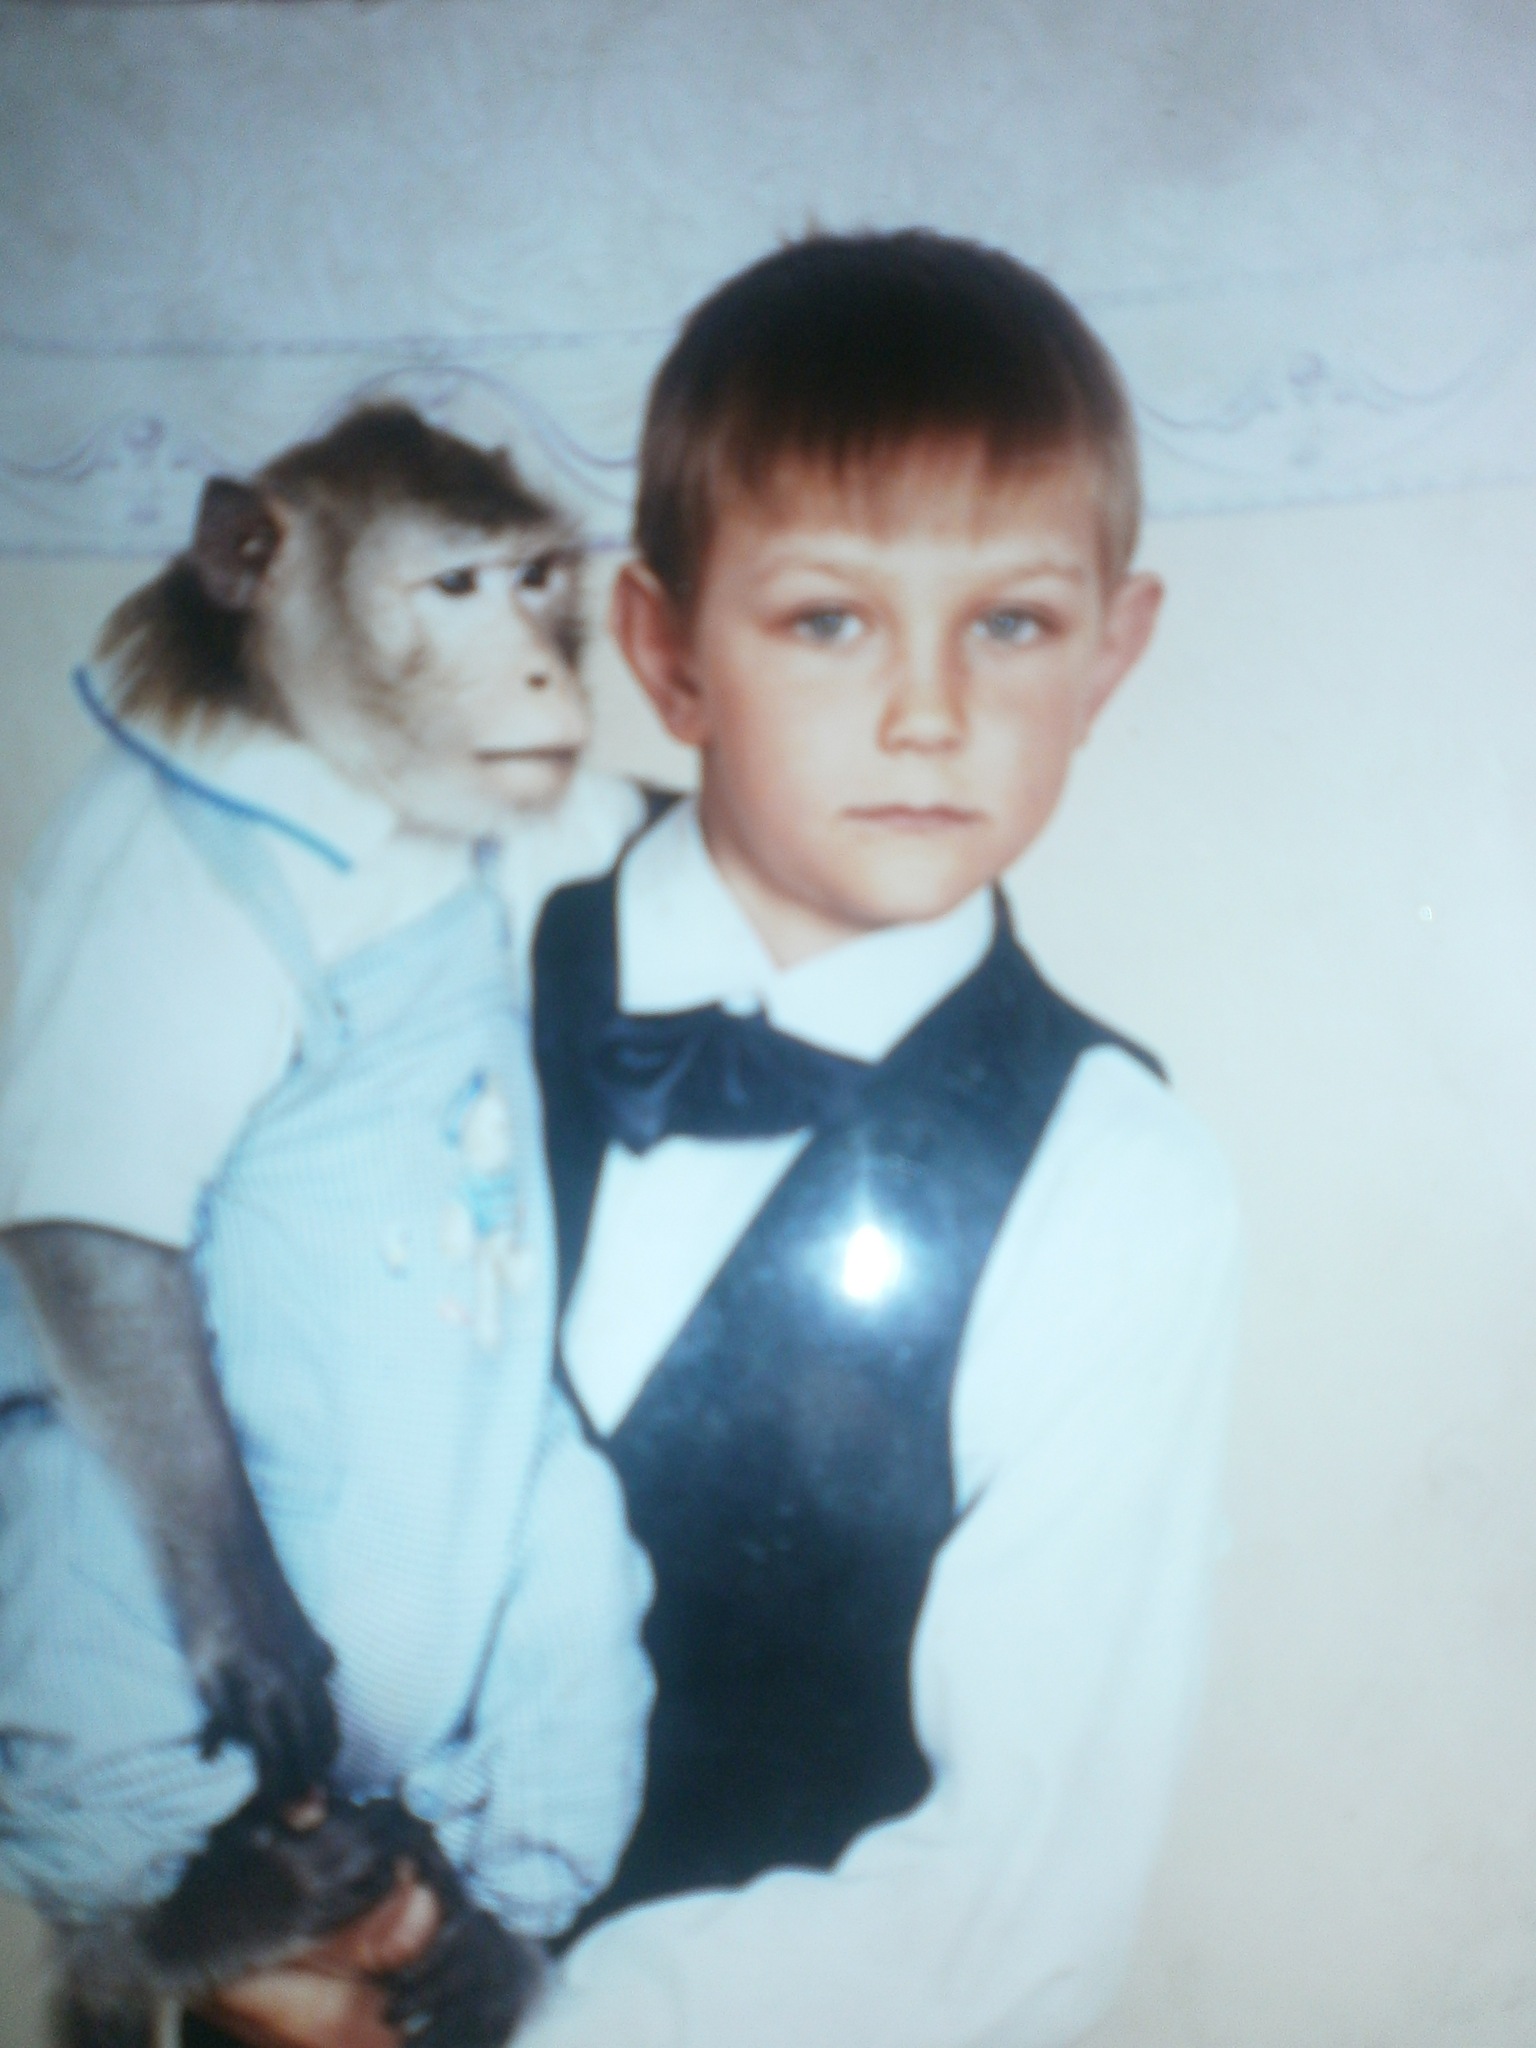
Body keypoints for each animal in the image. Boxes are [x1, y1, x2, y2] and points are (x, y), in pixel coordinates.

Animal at [0, 406, 654, 2047]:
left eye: (539, 578)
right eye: (458, 586)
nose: (547, 668)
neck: (362, 810)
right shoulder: (137, 889)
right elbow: (94, 1241)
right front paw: (261, 1643)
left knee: (577, 1552)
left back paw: (494, 1933)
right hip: (111, 1536)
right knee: (79, 1554)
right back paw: (185, 1917)